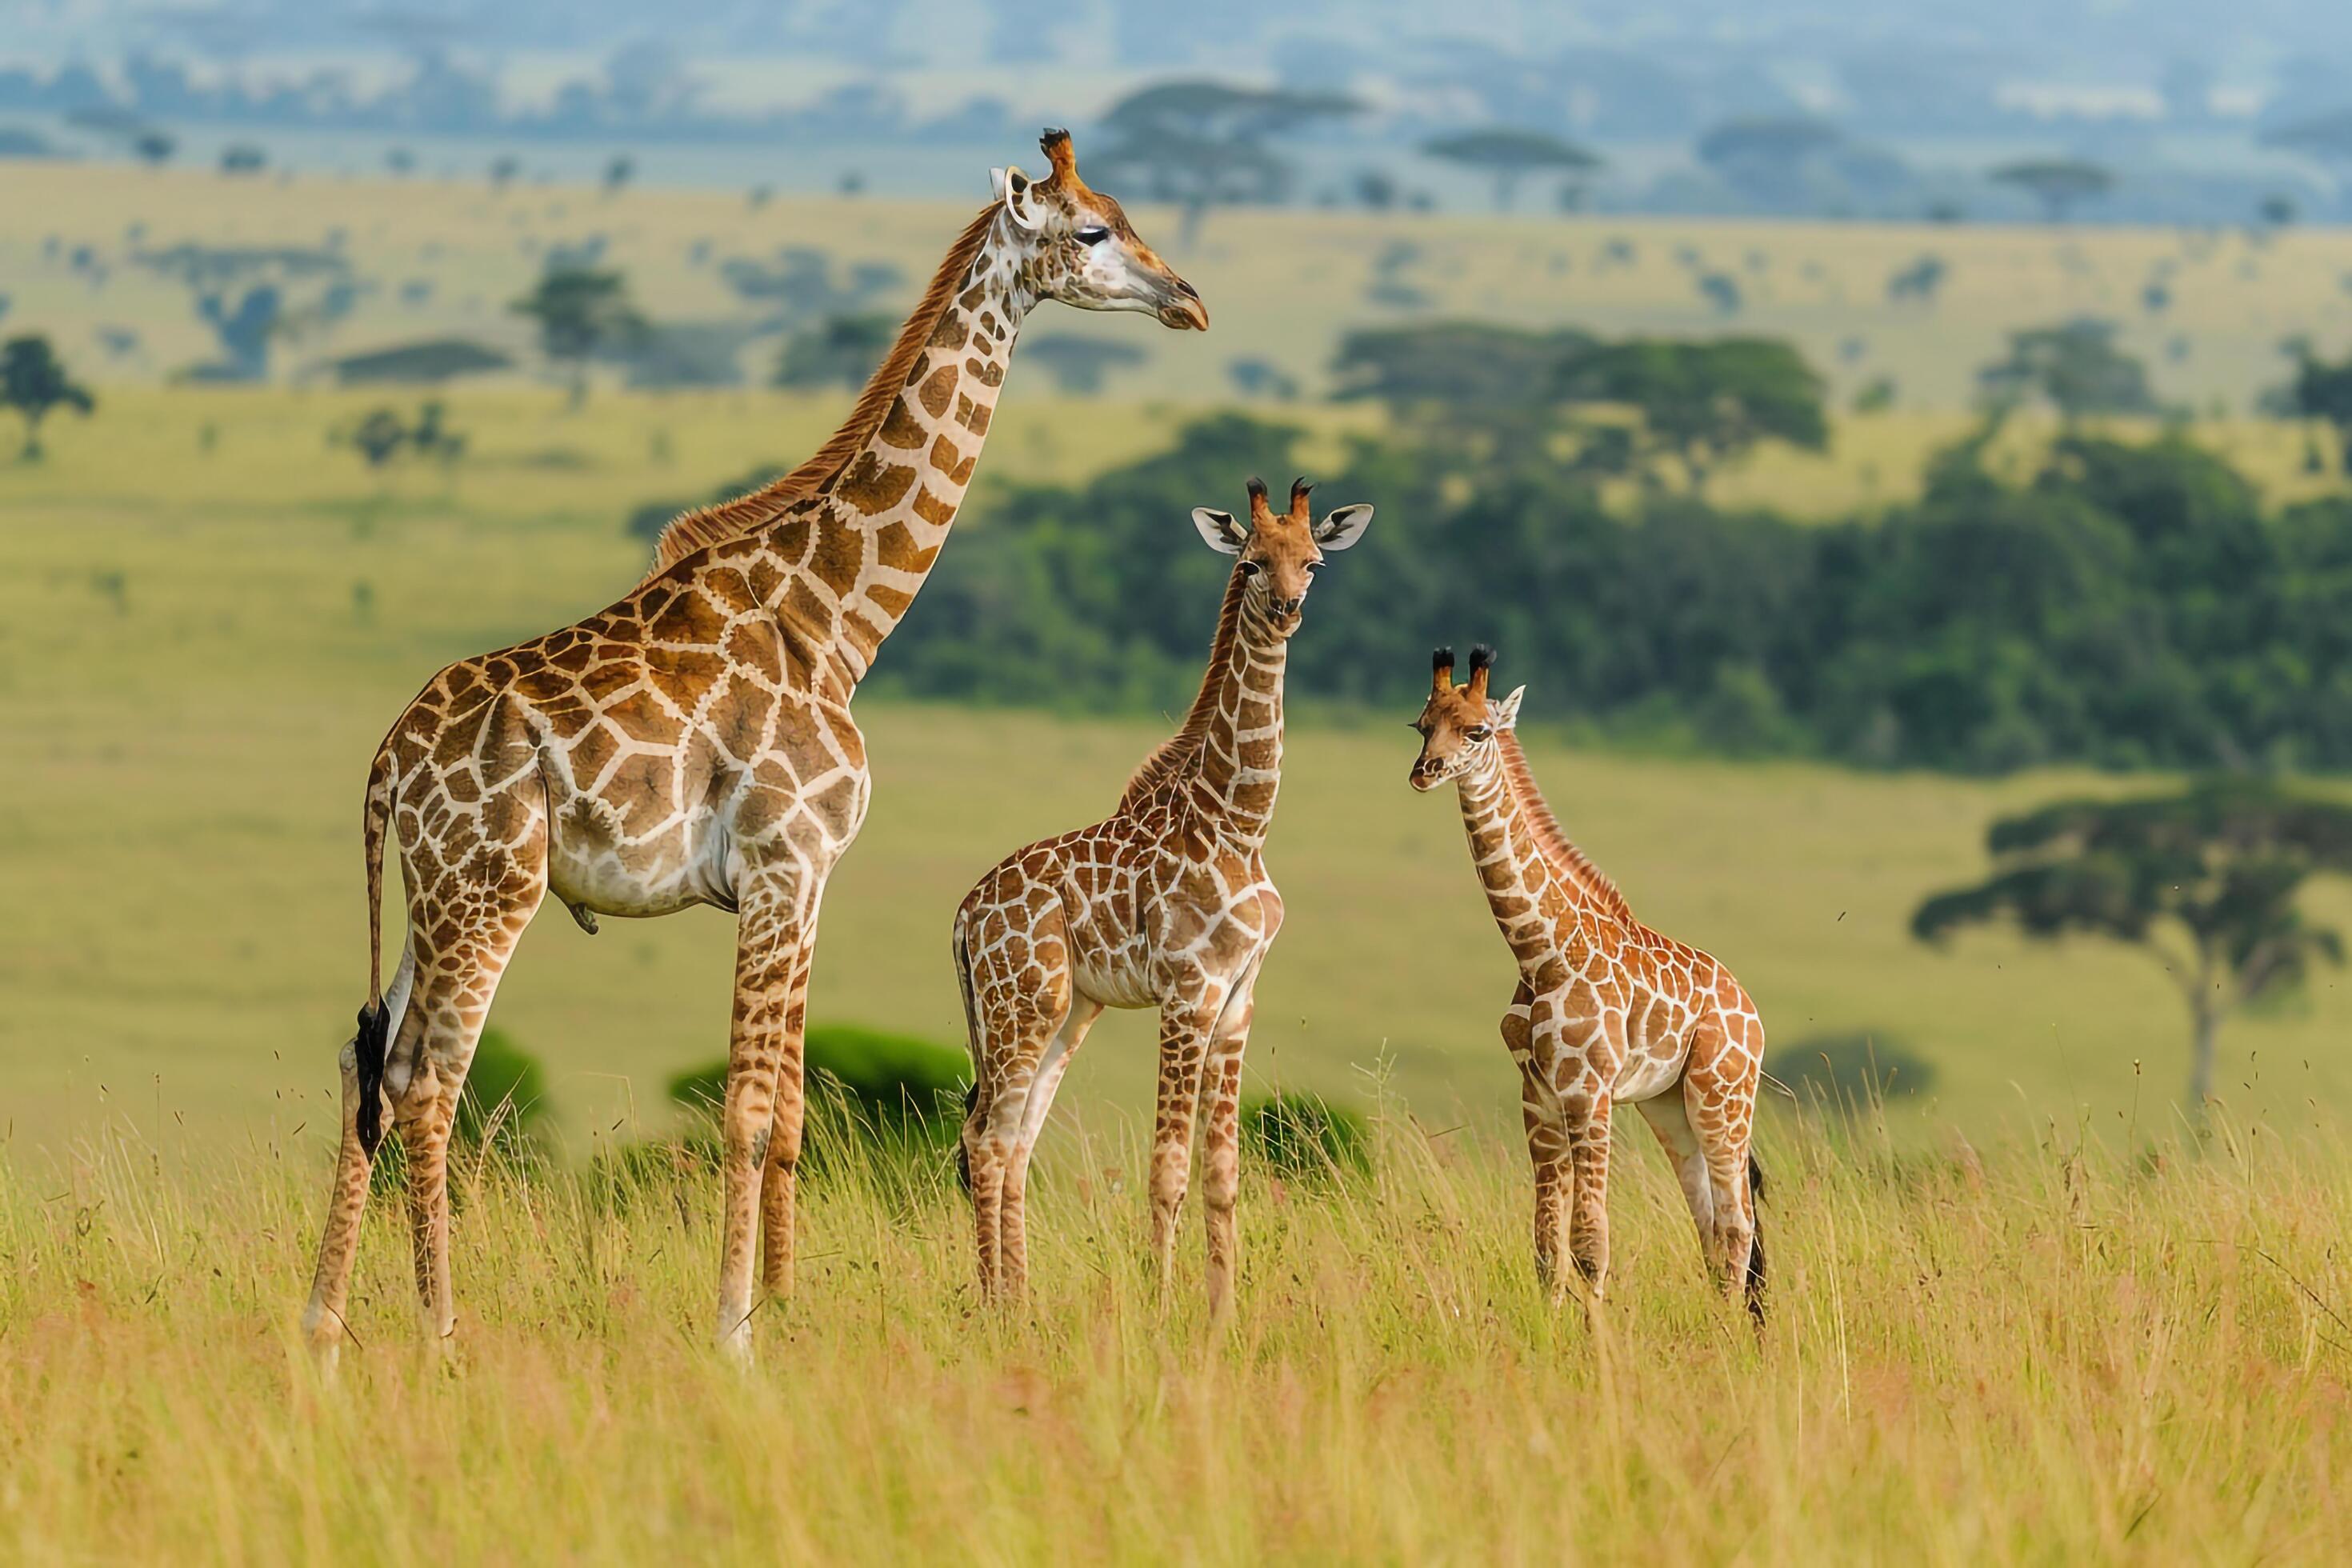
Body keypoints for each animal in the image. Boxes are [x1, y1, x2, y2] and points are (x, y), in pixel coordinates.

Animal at [301, 131, 1204, 1363]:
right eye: (1094, 228)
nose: (1187, 299)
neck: (834, 614)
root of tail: (387, 765)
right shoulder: (782, 862)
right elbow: (744, 1104)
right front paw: (733, 1329)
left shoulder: (810, 877)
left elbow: (789, 1110)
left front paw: (783, 1310)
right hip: (492, 885)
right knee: (432, 1081)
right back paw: (441, 1328)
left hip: (432, 889)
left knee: (372, 1063)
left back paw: (324, 1324)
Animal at [945, 474, 1373, 1316]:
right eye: (1249, 562)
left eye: (1313, 562)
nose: (1287, 609)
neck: (1238, 824)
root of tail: (966, 917)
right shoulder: (1187, 990)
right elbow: (1167, 1170)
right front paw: (1164, 1310)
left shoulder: (1238, 999)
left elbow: (1224, 1177)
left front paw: (1222, 1315)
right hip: (1025, 1004)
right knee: (986, 1139)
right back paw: (1000, 1306)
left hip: (1071, 1011)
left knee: (1013, 1141)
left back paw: (1021, 1303)